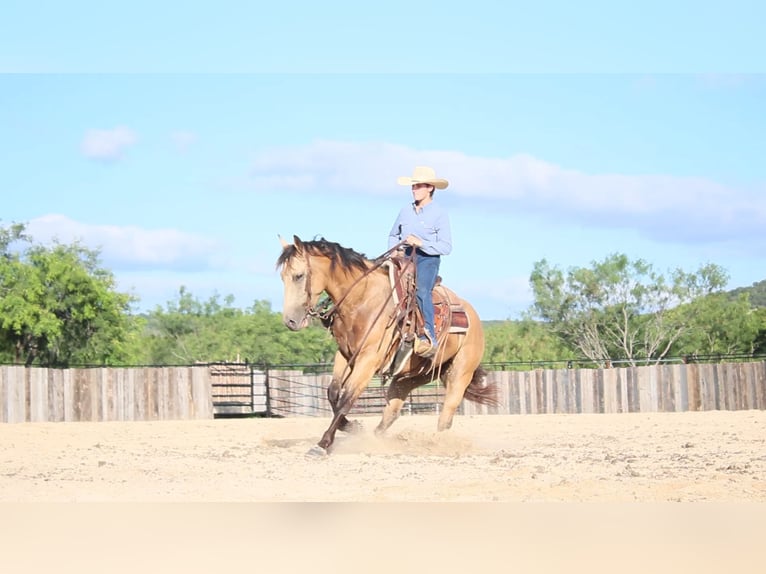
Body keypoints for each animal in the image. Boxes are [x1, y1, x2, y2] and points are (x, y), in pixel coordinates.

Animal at [276, 235, 499, 456]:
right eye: (282, 277)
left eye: (298, 276)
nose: (290, 321)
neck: (362, 301)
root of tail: (473, 317)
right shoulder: (345, 355)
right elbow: (333, 394)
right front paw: (353, 427)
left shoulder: (368, 359)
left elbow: (346, 398)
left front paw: (323, 444)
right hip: (411, 376)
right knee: (392, 411)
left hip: (460, 373)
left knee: (446, 415)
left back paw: (438, 443)